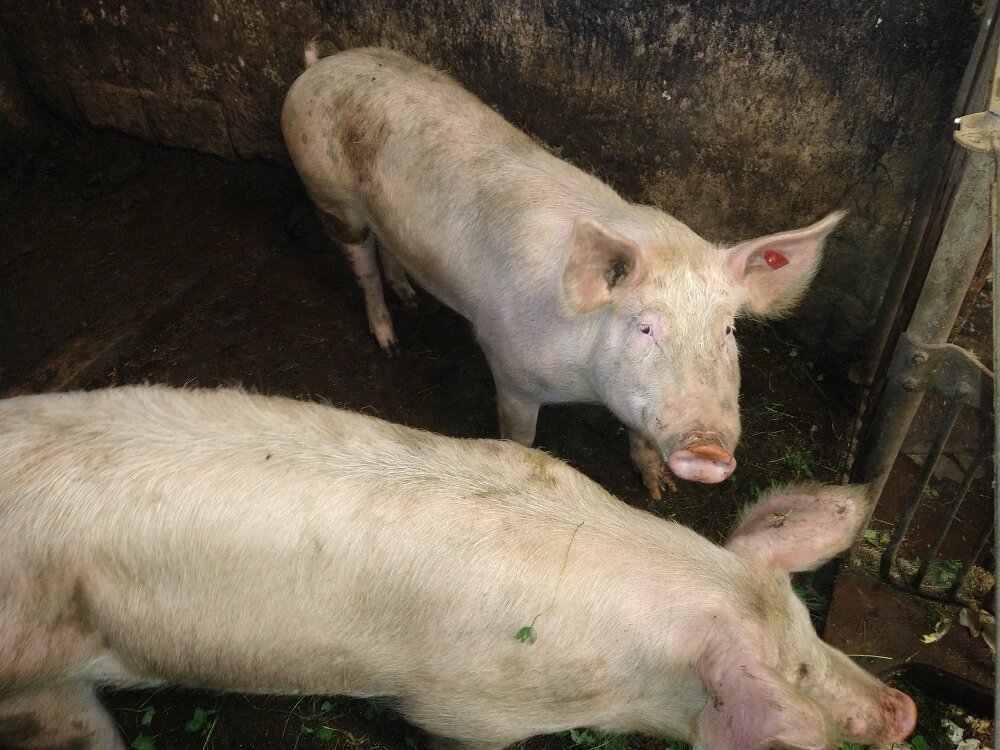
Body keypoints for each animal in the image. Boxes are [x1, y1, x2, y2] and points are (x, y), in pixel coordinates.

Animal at [281, 45, 844, 498]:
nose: (706, 450)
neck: (584, 382)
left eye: (726, 331)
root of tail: (320, 65)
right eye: (645, 328)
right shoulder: (508, 366)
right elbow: (521, 436)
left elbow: (640, 433)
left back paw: (410, 297)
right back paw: (389, 341)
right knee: (362, 266)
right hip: (328, 190)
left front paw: (659, 491)